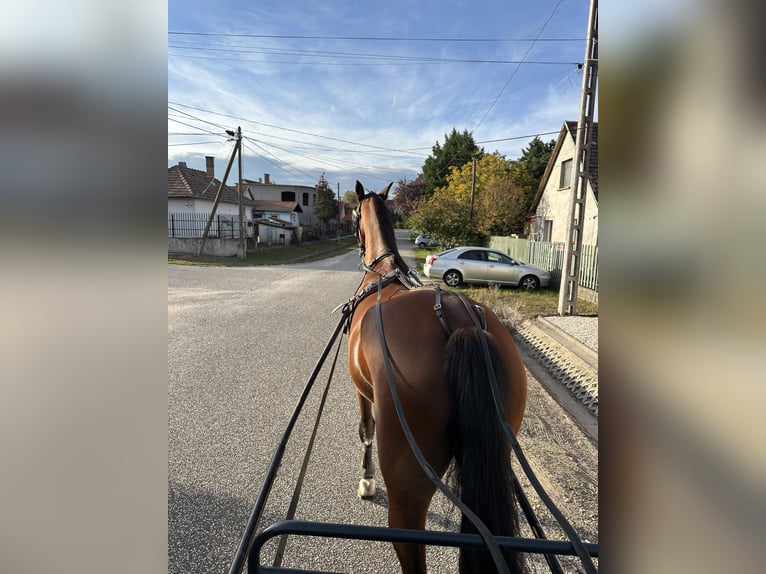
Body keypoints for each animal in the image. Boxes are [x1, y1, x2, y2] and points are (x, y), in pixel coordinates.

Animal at [346, 181, 528, 574]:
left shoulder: (361, 390)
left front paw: (366, 481)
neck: (383, 272)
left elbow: (365, 432)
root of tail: (459, 323)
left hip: (407, 487)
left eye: (352, 215)